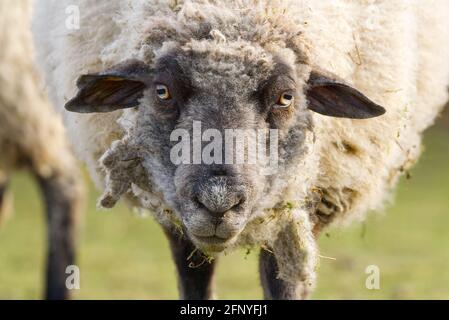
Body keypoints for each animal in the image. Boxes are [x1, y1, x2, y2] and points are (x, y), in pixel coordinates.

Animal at [32, 0, 448, 300]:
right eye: (162, 92)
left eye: (286, 97)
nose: (219, 202)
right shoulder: (175, 213)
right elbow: (194, 277)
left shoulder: (296, 204)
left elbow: (284, 281)